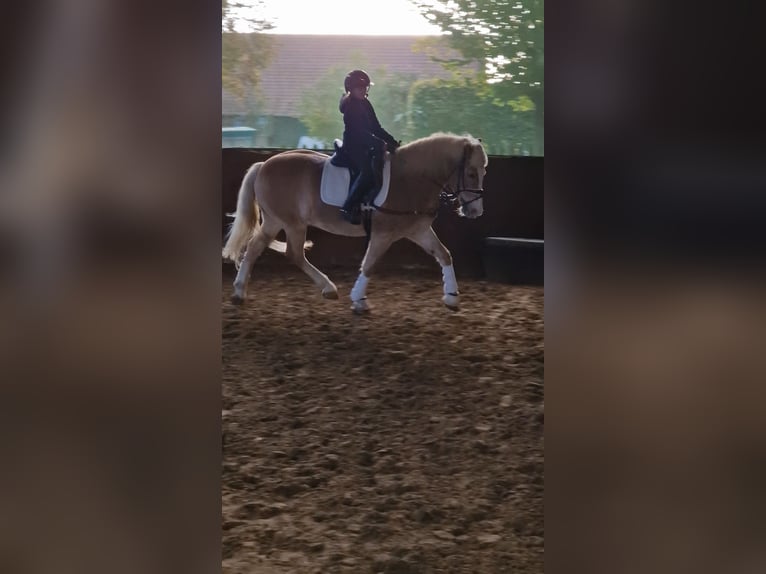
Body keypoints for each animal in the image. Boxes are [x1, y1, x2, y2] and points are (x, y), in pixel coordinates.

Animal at [222, 132, 488, 312]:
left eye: (483, 172)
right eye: (471, 173)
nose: (475, 211)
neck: (411, 179)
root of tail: (264, 164)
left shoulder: (418, 230)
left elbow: (444, 255)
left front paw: (452, 296)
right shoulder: (383, 234)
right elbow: (369, 264)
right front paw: (359, 301)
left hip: (275, 221)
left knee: (256, 248)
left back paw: (240, 291)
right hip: (290, 222)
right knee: (293, 254)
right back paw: (328, 288)